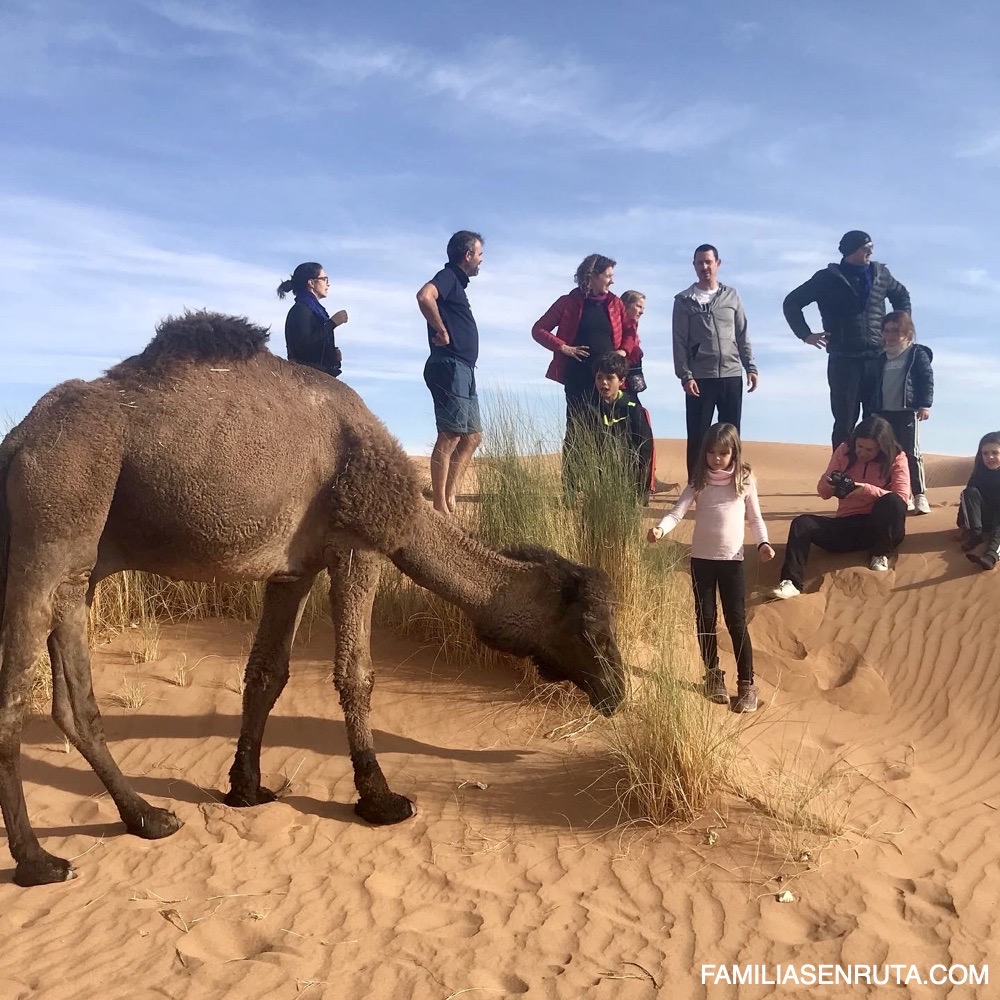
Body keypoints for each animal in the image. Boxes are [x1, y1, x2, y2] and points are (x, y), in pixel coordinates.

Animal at [0, 310, 624, 884]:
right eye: (591, 626)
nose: (617, 690)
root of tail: (16, 442)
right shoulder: (357, 547)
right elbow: (356, 674)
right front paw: (381, 799)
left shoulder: (291, 571)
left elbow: (266, 672)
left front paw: (246, 788)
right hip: (46, 530)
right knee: (15, 690)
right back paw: (37, 859)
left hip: (81, 564)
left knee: (73, 695)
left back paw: (148, 817)